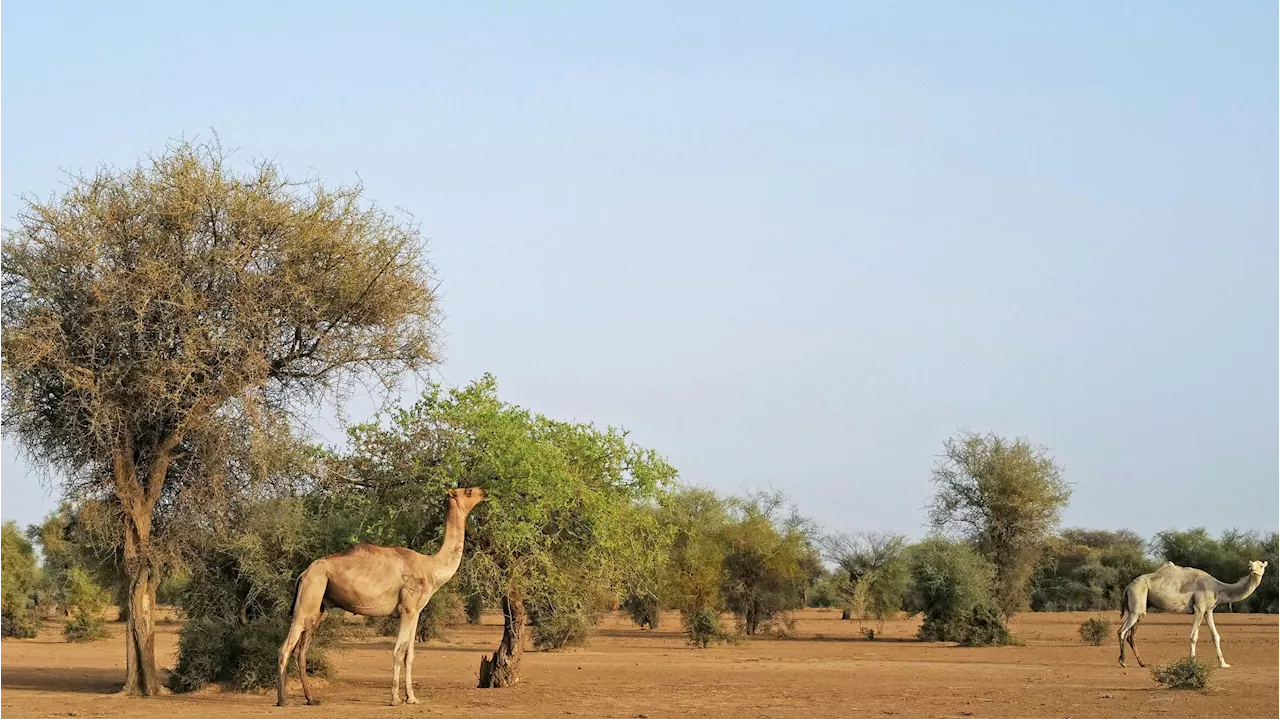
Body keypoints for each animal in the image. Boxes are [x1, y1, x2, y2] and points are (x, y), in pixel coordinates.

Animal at [275, 483, 488, 701]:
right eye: (468, 492)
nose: (484, 491)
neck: (431, 568)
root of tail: (304, 574)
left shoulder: (416, 612)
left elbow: (409, 654)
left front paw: (412, 697)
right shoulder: (407, 609)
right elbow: (398, 651)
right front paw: (395, 698)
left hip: (318, 607)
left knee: (300, 650)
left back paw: (311, 699)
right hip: (308, 597)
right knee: (285, 648)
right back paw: (283, 700)